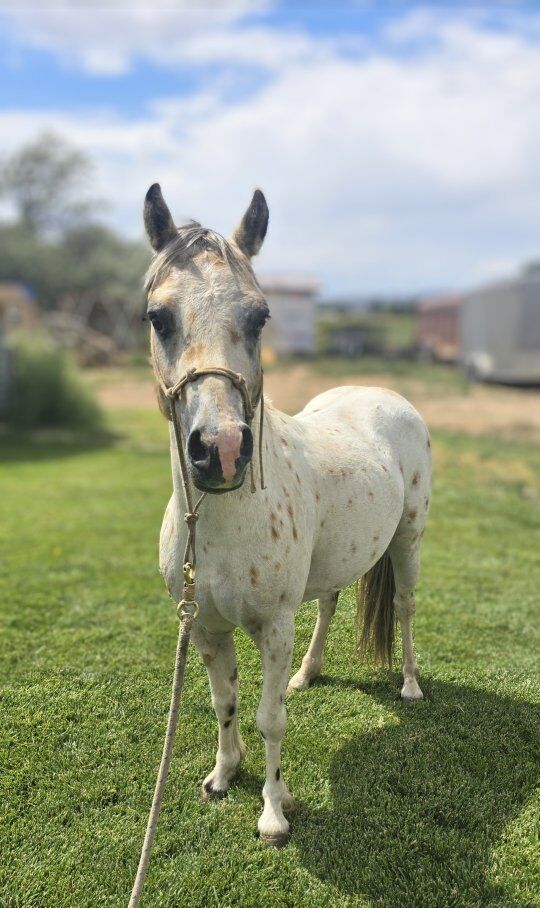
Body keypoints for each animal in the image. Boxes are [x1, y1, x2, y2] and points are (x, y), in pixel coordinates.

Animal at [143, 184, 432, 847]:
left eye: (260, 317)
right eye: (158, 318)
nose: (220, 449)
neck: (221, 526)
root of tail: (387, 396)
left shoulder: (273, 628)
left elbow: (270, 717)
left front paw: (273, 811)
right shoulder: (205, 629)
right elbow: (224, 704)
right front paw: (223, 776)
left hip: (408, 541)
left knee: (405, 608)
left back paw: (408, 685)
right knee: (328, 602)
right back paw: (309, 672)